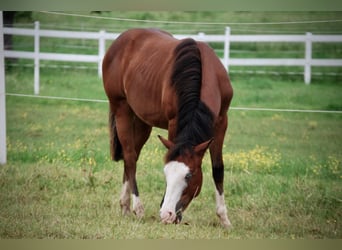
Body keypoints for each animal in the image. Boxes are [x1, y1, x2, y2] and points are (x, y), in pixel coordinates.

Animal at [103, 28, 234, 228]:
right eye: (166, 174)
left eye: (189, 176)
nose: (167, 214)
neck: (204, 73)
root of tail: (120, 41)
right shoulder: (174, 123)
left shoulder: (221, 122)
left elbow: (218, 168)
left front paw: (224, 218)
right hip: (121, 109)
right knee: (130, 157)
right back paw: (136, 207)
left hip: (142, 121)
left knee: (131, 155)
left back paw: (124, 205)